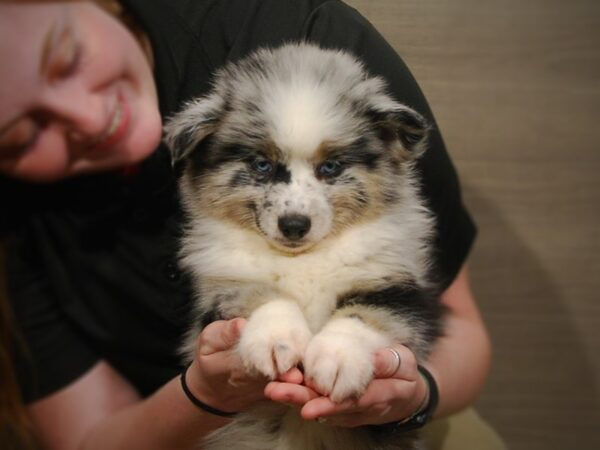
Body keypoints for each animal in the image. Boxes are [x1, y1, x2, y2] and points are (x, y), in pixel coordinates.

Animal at [164, 43, 446, 450]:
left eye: (330, 167)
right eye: (261, 165)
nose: (295, 225)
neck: (304, 258)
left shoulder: (396, 285)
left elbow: (362, 314)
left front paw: (337, 359)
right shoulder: (220, 286)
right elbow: (260, 294)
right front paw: (276, 339)